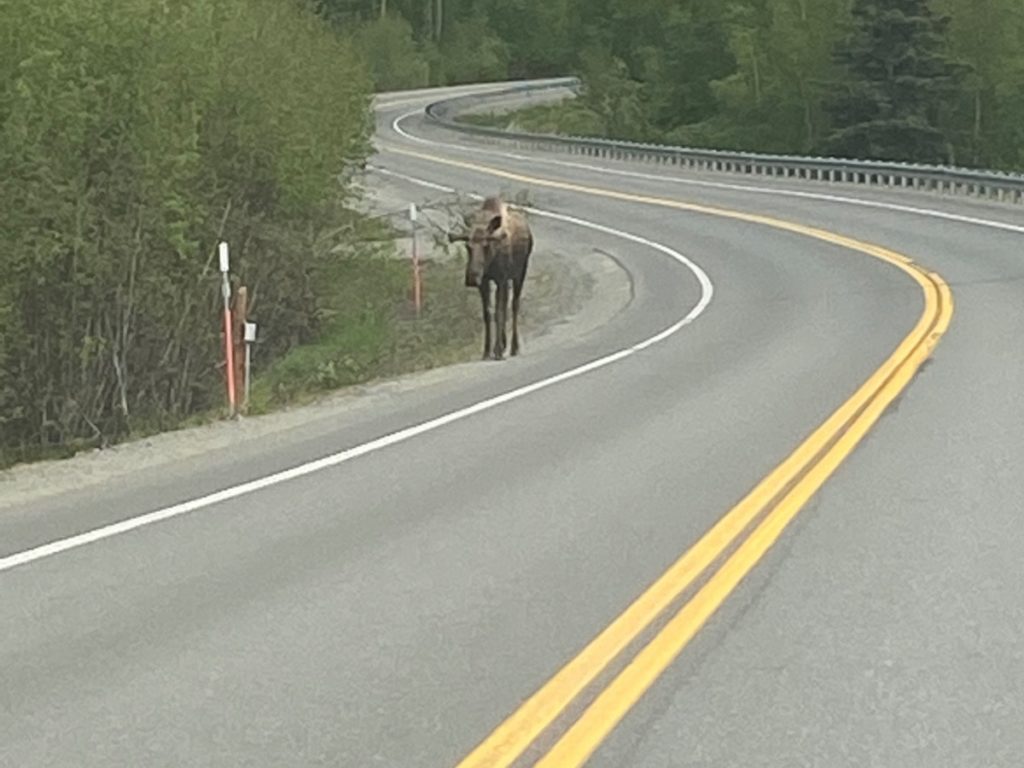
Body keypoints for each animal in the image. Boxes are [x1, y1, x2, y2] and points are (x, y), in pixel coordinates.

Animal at [450, 195, 536, 358]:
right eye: (467, 246)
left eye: (486, 245)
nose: (472, 277)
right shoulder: (486, 281)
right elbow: (488, 312)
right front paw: (487, 350)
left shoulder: (501, 279)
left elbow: (498, 312)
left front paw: (497, 350)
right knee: (506, 303)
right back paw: (504, 343)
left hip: (520, 273)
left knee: (514, 305)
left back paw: (514, 347)